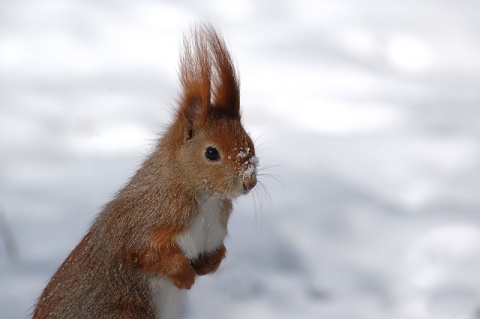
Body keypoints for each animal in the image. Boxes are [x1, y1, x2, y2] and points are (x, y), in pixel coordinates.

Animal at [32, 24, 258, 319]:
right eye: (211, 153)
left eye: (250, 143)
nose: (249, 182)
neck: (205, 198)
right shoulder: (144, 217)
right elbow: (140, 251)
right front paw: (184, 273)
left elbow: (215, 254)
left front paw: (209, 264)